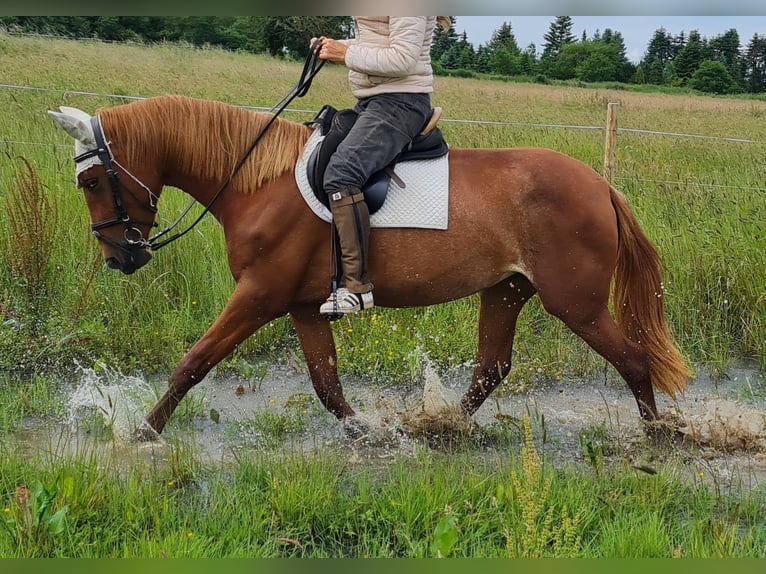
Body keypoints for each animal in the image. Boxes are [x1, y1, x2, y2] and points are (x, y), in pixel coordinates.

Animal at [49, 95, 696, 440]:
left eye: (90, 181)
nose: (120, 257)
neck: (257, 182)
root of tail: (601, 187)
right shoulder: (303, 306)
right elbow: (327, 383)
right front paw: (366, 431)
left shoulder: (258, 296)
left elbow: (194, 362)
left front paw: (142, 432)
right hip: (507, 290)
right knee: (491, 366)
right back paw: (437, 425)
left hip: (575, 303)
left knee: (633, 359)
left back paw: (655, 437)